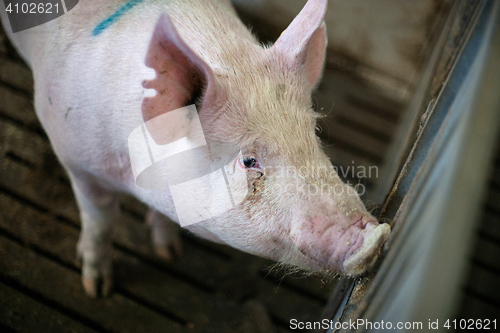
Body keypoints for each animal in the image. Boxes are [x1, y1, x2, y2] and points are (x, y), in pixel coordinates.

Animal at [0, 0, 390, 296]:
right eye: (249, 160)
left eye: (314, 132)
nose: (377, 237)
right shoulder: (77, 160)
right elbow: (101, 221)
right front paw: (97, 289)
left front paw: (168, 253)